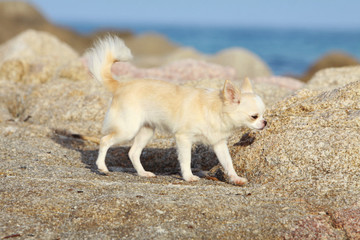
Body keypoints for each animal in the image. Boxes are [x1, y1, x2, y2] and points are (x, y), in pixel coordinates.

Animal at [86, 35, 266, 186]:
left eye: (263, 115)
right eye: (254, 116)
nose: (265, 122)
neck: (217, 108)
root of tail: (120, 85)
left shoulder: (219, 143)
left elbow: (228, 163)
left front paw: (235, 178)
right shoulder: (183, 138)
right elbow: (186, 160)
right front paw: (188, 177)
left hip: (146, 131)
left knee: (133, 153)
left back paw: (143, 173)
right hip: (127, 129)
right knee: (105, 140)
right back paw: (102, 167)